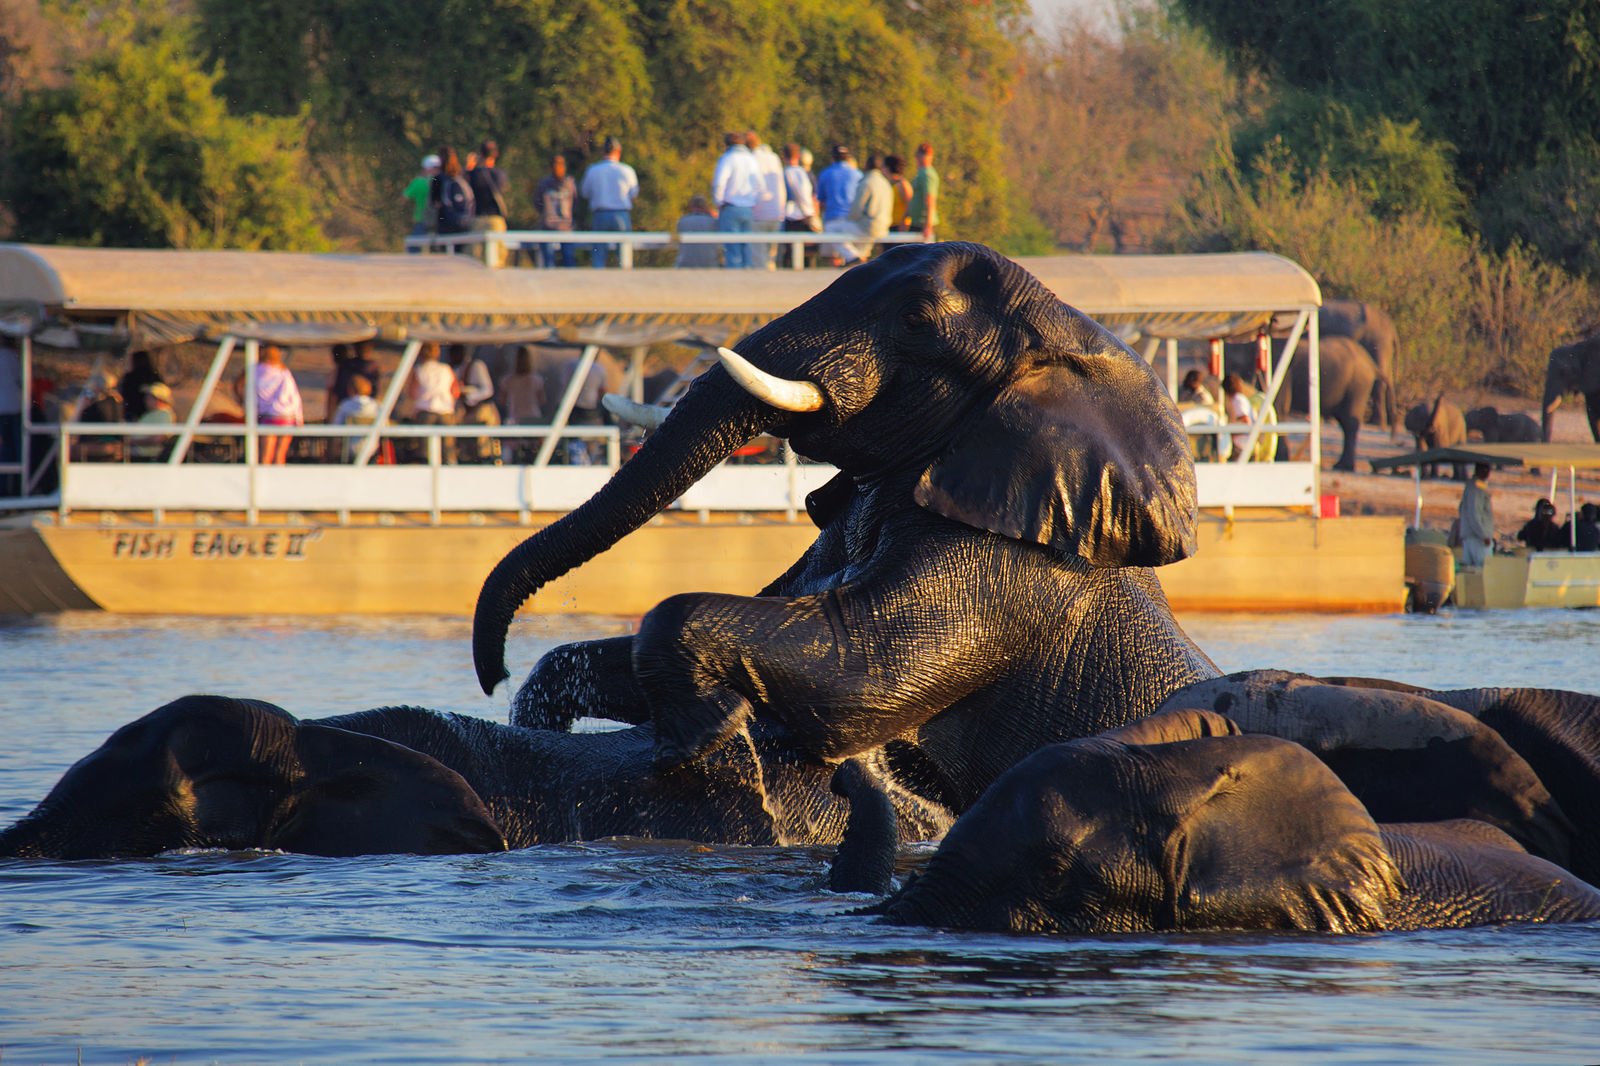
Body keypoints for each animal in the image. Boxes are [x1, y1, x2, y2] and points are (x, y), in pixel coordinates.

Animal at [475, 242, 1219, 813]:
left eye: (916, 321)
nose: (491, 673)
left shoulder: (1009, 569)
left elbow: (860, 672)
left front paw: (705, 739)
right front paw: (540, 713)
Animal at [1319, 299, 1399, 432]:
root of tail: (1393, 331)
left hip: (1378, 342)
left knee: (1379, 381)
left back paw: (1376, 424)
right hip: (1384, 347)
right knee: (1389, 379)